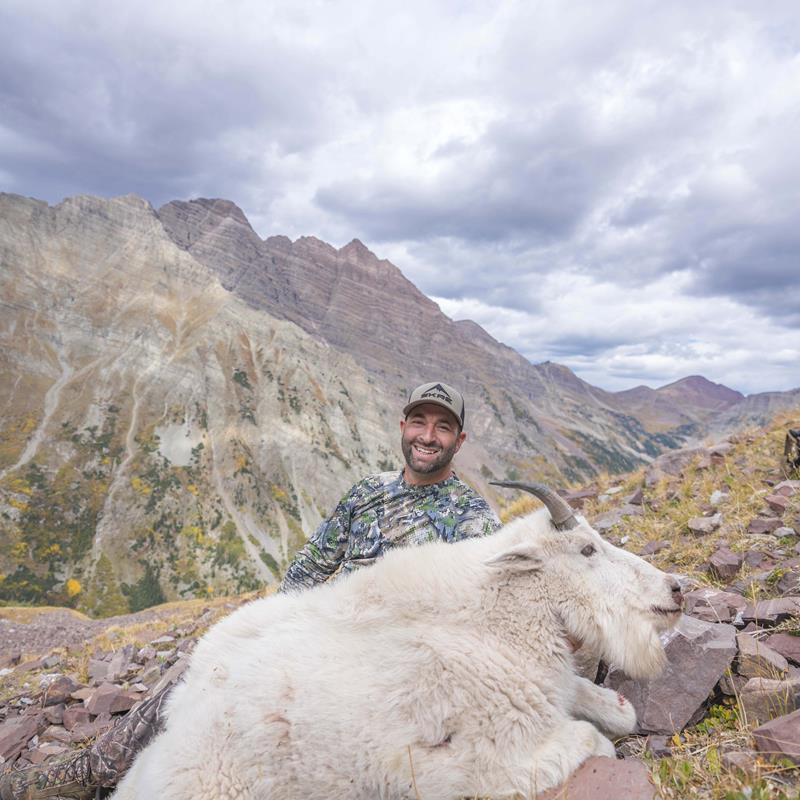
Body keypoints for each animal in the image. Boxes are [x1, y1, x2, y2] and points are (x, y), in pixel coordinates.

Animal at [111, 482, 682, 800]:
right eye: (587, 549)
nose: (675, 589)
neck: (491, 619)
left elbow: (616, 713)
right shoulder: (461, 763)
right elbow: (594, 743)